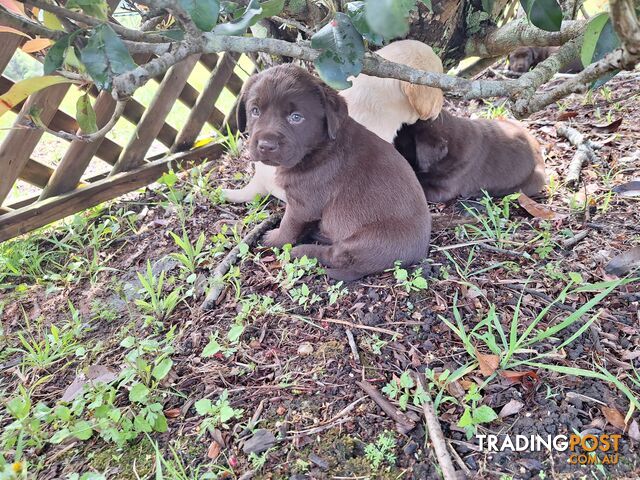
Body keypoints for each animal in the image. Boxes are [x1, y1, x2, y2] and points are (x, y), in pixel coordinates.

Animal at [238, 63, 432, 282]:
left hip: (364, 242)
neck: (319, 148)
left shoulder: (302, 205)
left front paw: (274, 239)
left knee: (333, 255)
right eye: (255, 111)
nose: (265, 146)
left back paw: (303, 250)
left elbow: (288, 226)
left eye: (296, 117)